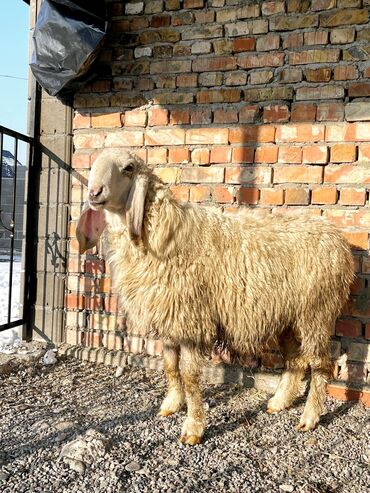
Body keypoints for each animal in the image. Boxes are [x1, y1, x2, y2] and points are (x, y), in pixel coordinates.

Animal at [76, 148, 354, 444]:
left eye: (128, 168)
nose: (94, 192)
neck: (165, 234)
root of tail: (338, 238)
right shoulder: (171, 317)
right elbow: (170, 366)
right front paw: (171, 405)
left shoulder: (191, 320)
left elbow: (188, 375)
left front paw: (193, 427)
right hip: (289, 317)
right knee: (295, 360)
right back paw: (279, 401)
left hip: (317, 312)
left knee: (322, 364)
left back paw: (310, 417)